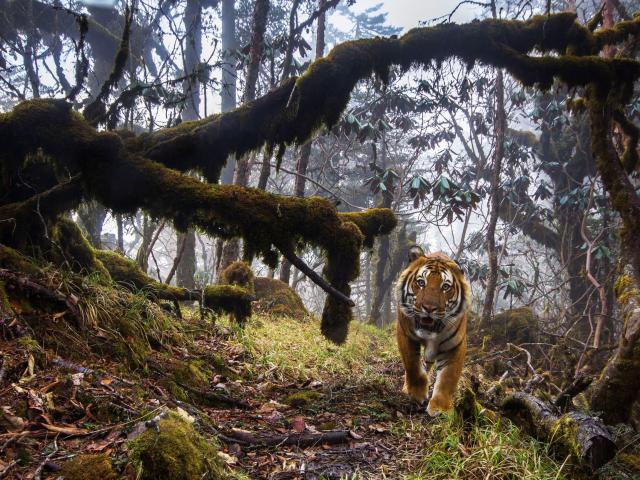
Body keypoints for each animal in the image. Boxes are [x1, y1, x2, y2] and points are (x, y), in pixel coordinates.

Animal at [396, 246, 470, 416]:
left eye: (445, 287)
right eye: (421, 282)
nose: (429, 308)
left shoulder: (455, 345)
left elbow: (448, 378)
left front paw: (440, 408)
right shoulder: (404, 334)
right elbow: (412, 366)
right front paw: (417, 394)